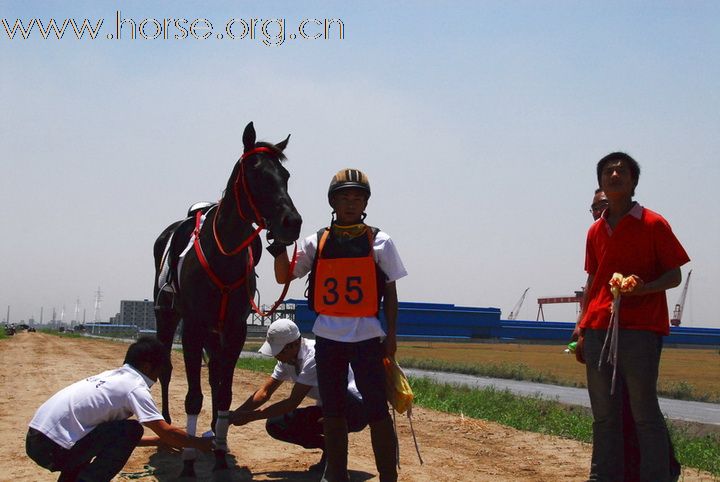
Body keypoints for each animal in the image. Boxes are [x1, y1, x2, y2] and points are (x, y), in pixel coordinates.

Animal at [152, 121, 300, 474]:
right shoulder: (192, 328)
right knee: (166, 369)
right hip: (167, 318)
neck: (223, 254)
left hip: (214, 333)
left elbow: (223, 393)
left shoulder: (234, 330)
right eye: (256, 173)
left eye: (286, 175)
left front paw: (219, 454)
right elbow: (194, 397)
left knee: (214, 376)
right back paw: (168, 427)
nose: (292, 222)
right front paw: (189, 462)